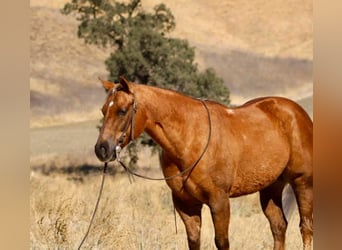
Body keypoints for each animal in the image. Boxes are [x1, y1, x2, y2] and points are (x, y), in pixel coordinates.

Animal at [93, 76, 312, 250]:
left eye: (122, 111)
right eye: (103, 110)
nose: (101, 149)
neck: (189, 138)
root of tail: (298, 113)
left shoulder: (219, 201)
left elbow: (222, 242)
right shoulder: (185, 204)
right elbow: (193, 240)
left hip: (302, 182)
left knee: (306, 227)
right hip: (271, 186)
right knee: (278, 227)